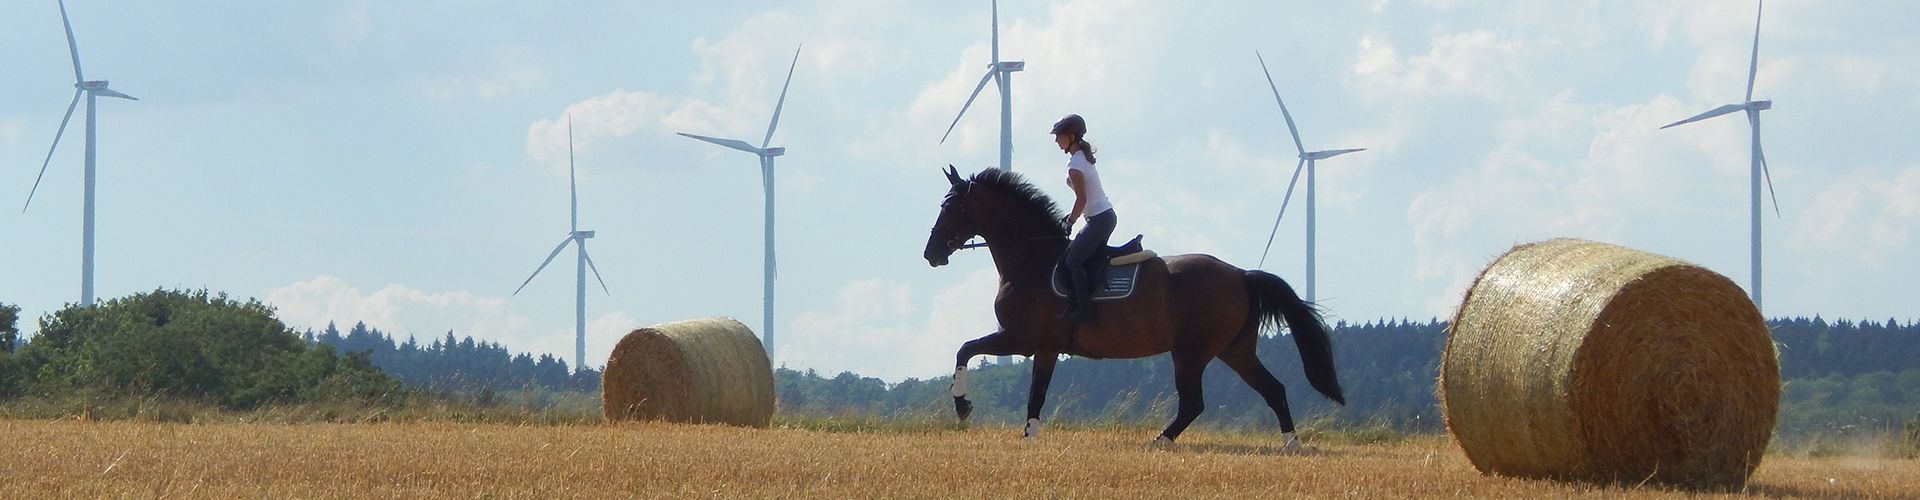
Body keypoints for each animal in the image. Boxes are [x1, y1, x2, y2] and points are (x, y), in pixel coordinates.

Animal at [923, 166, 1344, 446]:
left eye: (952, 209)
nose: (931, 254)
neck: (1032, 260)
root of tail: (1240, 274)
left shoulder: (1025, 340)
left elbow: (971, 352)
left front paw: (964, 406)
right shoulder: (1041, 347)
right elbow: (1027, 387)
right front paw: (1025, 433)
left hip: (1191, 352)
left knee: (1194, 403)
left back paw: (1161, 440)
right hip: (1234, 350)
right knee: (1273, 389)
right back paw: (1291, 443)